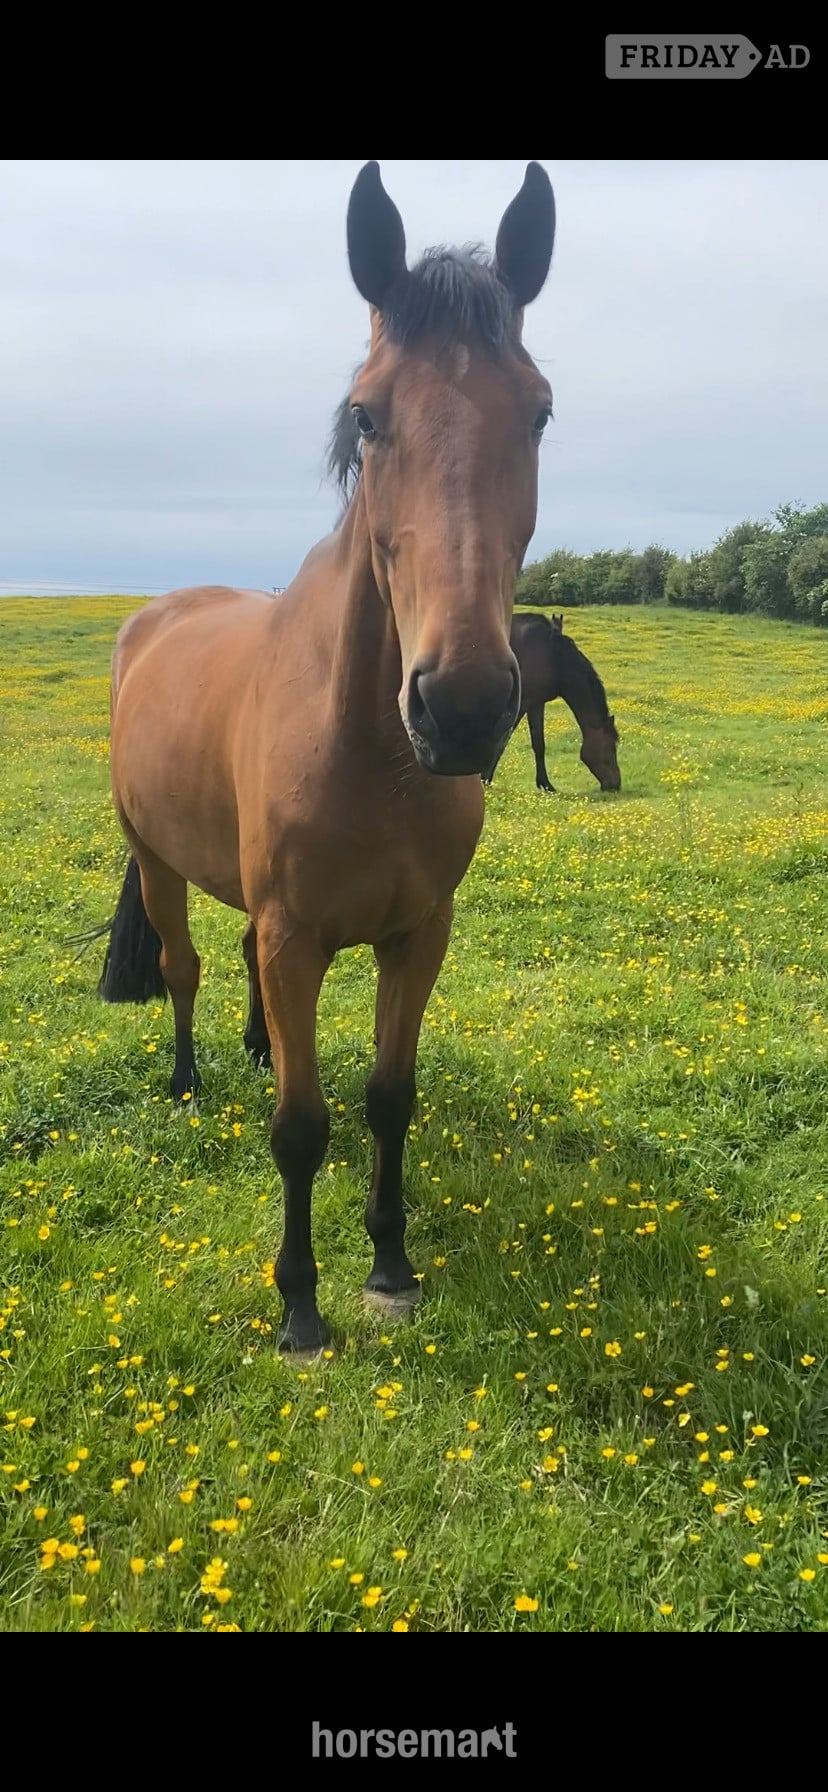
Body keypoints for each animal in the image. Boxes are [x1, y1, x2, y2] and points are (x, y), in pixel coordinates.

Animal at [97, 160, 556, 1355]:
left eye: (539, 411)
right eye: (367, 413)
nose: (463, 705)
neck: (368, 752)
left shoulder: (417, 933)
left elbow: (390, 1098)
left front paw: (390, 1262)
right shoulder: (297, 936)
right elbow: (301, 1128)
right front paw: (300, 1302)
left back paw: (255, 1048)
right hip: (158, 863)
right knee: (183, 967)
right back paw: (187, 1080)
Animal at [486, 610, 620, 792]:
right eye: (610, 747)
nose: (616, 784)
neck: (552, 657)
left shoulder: (536, 703)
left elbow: (539, 744)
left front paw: (545, 784)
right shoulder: (520, 704)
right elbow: (501, 741)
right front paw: (485, 779)